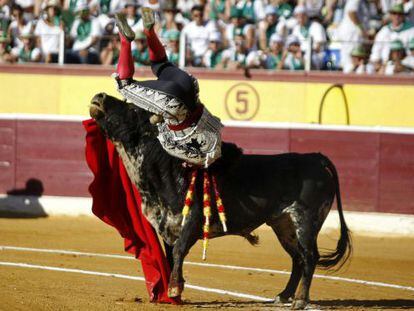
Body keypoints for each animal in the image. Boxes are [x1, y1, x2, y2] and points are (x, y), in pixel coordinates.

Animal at [89, 92, 350, 310]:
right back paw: (283, 296)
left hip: (306, 220)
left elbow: (180, 251)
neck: (168, 169)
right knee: (297, 257)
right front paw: (176, 292)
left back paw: (300, 300)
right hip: (283, 224)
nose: (99, 97)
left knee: (309, 256)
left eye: (133, 110)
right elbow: (171, 256)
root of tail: (315, 158)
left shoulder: (191, 222)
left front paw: (174, 289)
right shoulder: (168, 227)